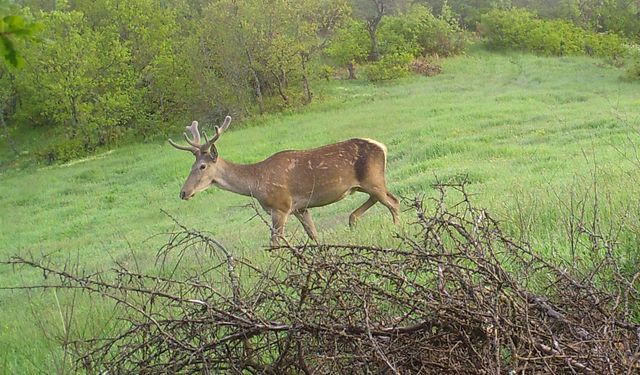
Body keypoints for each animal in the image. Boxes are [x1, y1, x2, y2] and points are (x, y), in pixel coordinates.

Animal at [170, 117, 400, 247]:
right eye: (191, 165)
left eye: (202, 166)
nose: (183, 192)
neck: (256, 183)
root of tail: (382, 147)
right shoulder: (300, 208)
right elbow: (314, 236)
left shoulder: (280, 207)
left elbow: (273, 243)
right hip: (364, 184)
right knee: (380, 199)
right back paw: (352, 220)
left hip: (373, 179)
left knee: (393, 202)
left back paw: (397, 230)